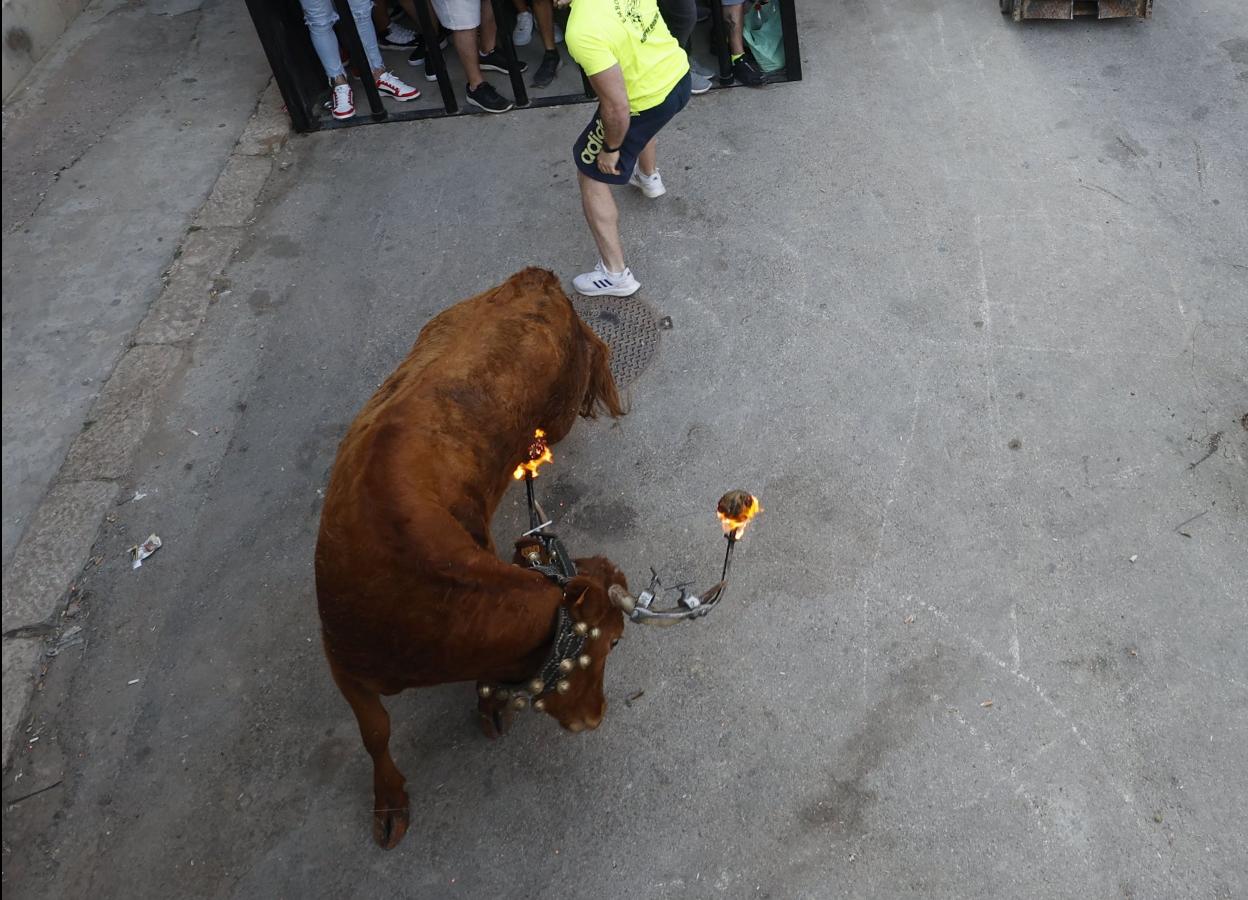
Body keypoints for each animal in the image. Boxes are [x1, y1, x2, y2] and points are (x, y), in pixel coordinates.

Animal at [312, 268, 624, 848]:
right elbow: (375, 733)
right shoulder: (341, 661)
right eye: (613, 641)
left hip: (559, 409)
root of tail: (537, 279)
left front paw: (490, 708)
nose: (596, 716)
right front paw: (389, 802)